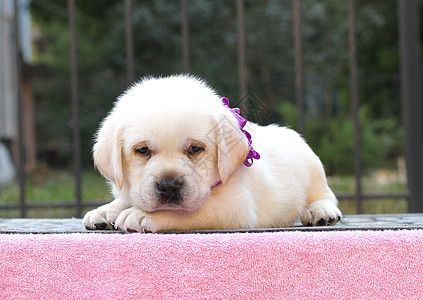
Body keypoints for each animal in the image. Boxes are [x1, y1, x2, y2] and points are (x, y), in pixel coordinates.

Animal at [84, 74, 342, 232]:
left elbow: (188, 213)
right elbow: (125, 199)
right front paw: (105, 211)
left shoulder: (234, 206)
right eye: (143, 150)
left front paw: (141, 215)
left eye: (195, 148)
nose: (169, 186)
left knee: (325, 194)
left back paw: (320, 210)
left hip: (312, 163)